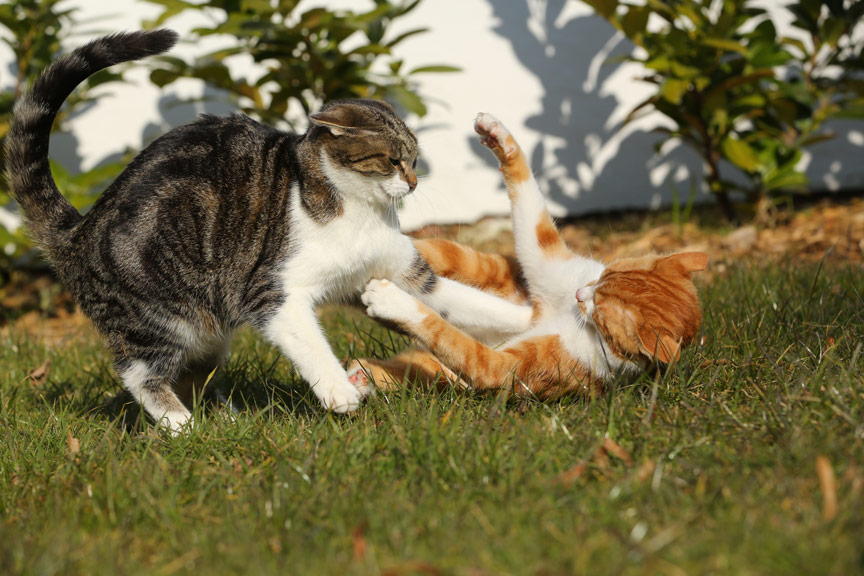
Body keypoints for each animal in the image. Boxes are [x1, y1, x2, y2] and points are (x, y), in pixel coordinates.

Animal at [5, 30, 532, 428]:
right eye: (392, 160)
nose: (415, 181)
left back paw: (226, 419)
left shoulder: (406, 275)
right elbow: (309, 343)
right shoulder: (271, 293)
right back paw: (180, 425)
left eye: (416, 159)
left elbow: (470, 304)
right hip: (159, 313)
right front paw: (338, 391)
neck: (357, 212)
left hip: (209, 325)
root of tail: (80, 230)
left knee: (193, 373)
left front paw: (535, 320)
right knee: (138, 373)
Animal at [348, 114, 704, 398]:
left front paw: (392, 302)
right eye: (603, 276)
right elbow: (531, 206)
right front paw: (500, 138)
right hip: (489, 268)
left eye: (601, 309)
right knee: (436, 256)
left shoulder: (504, 369)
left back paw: (362, 376)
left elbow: (450, 338)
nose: (579, 294)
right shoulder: (545, 256)